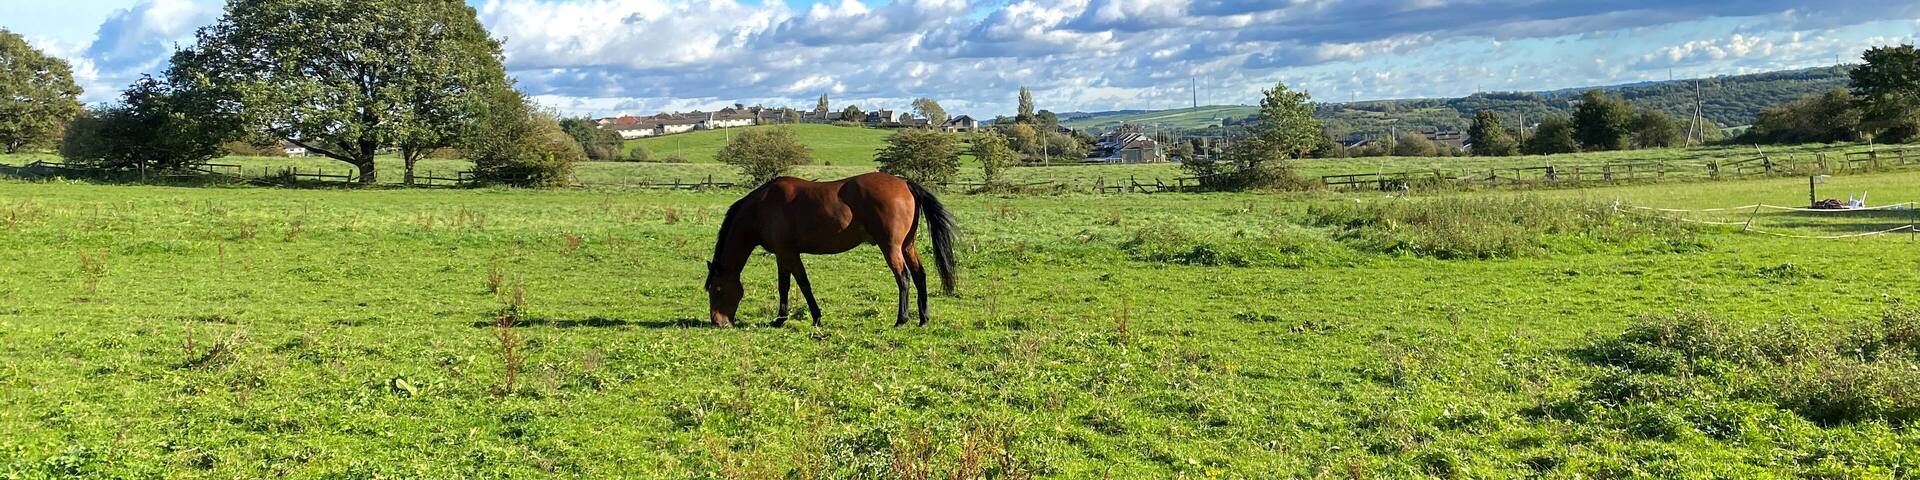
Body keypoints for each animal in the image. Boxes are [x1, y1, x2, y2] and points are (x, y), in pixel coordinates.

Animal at [705, 172, 957, 328]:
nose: (718, 322)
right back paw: (923, 318)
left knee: (904, 278)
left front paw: (814, 318)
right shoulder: (783, 255)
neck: (763, 207)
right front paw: (781, 318)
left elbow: (801, 284)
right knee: (919, 275)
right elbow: (785, 286)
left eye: (717, 289)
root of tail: (904, 183)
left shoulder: (788, 253)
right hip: (907, 245)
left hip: (891, 247)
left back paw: (901, 319)